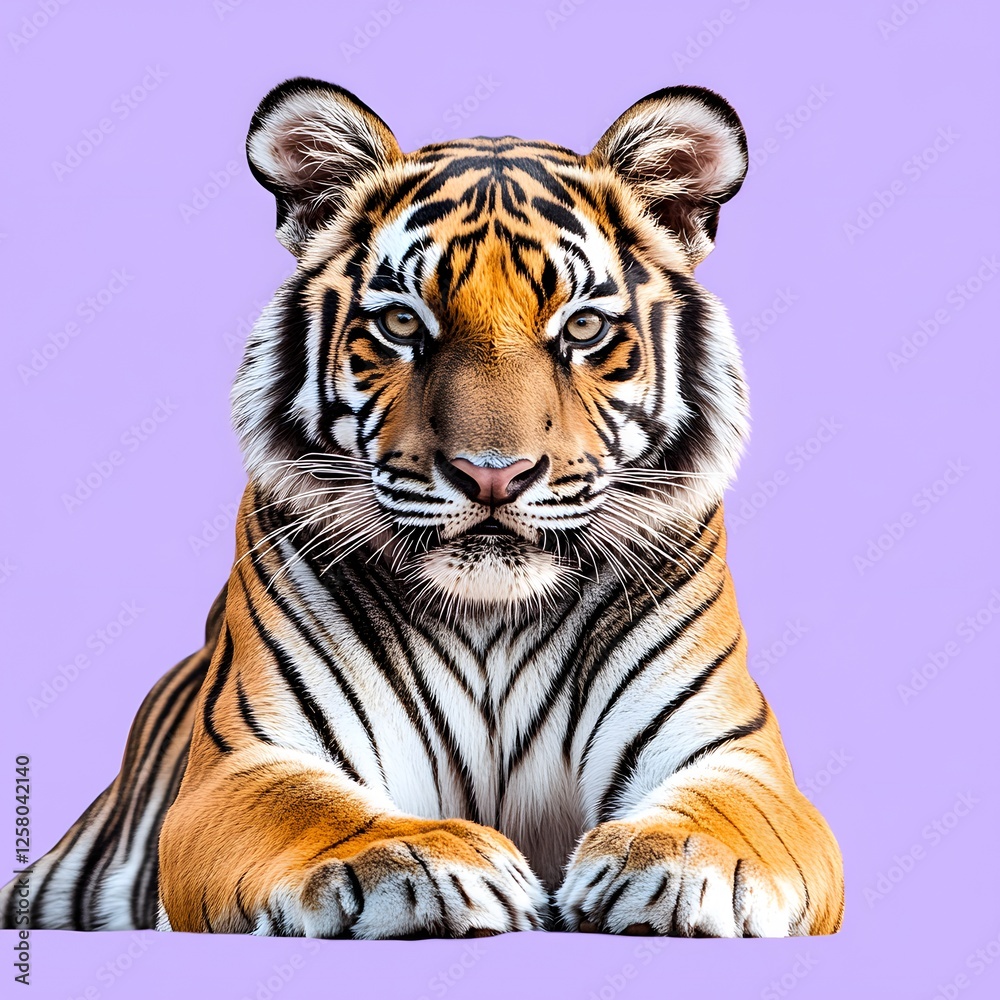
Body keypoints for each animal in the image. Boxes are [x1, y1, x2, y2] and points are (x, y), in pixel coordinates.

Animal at [1, 78, 844, 939]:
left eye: (582, 327)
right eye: (403, 322)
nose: (494, 476)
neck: (493, 619)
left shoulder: (735, 754)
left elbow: (729, 815)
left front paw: (679, 862)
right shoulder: (248, 760)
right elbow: (314, 809)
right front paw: (425, 857)